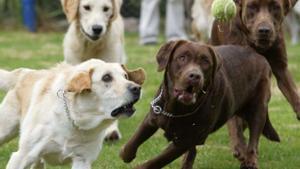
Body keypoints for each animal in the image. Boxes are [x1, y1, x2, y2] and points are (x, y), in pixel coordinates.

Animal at [211, 0, 300, 164]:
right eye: (252, 6)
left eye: (275, 7)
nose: (264, 30)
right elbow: (234, 120)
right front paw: (239, 146)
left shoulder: (281, 68)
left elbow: (293, 94)